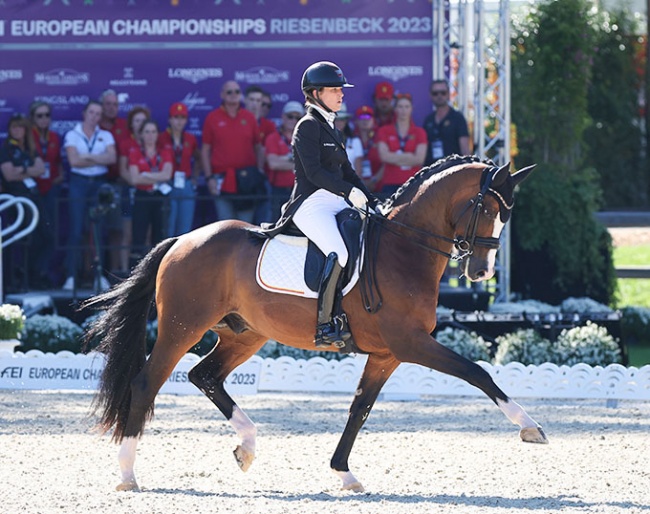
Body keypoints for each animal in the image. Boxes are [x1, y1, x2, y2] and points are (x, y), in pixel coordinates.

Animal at [83, 155, 544, 492]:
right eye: (486, 208)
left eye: (506, 214)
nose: (482, 272)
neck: (403, 247)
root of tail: (182, 239)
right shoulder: (411, 343)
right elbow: (477, 372)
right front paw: (530, 427)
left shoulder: (387, 354)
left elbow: (360, 408)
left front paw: (344, 472)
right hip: (183, 327)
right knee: (147, 382)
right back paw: (128, 474)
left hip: (245, 334)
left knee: (205, 376)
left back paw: (246, 447)